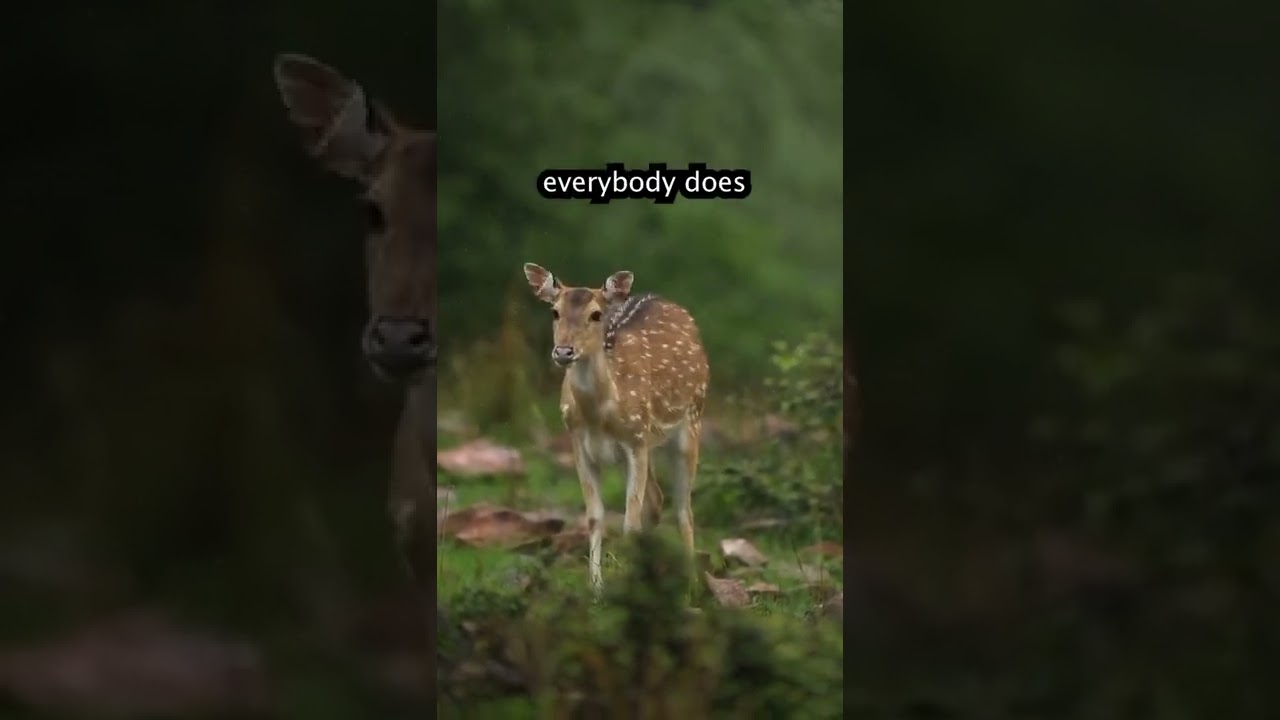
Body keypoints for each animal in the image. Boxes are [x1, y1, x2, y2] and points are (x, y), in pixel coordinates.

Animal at [522, 263, 710, 594]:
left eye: (596, 314)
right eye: (554, 312)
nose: (564, 352)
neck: (600, 416)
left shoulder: (636, 440)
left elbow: (629, 523)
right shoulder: (579, 444)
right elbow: (595, 516)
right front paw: (597, 588)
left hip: (692, 421)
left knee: (683, 510)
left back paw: (691, 585)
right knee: (656, 500)